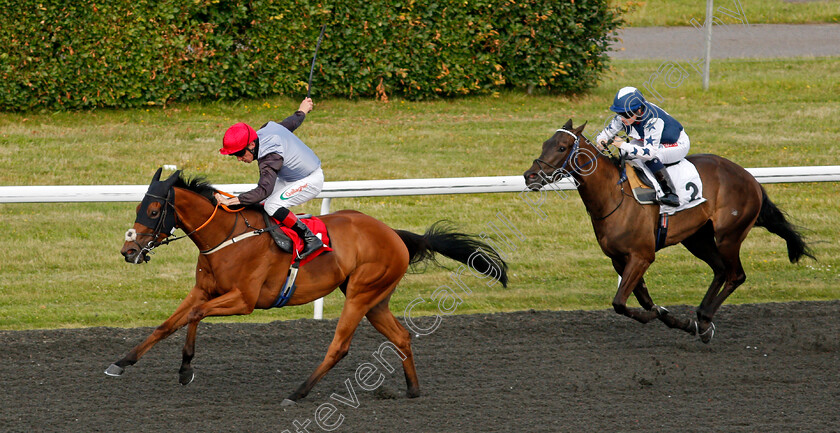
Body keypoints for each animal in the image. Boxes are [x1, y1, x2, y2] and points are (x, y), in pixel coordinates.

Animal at [108, 167, 508, 404]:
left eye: (154, 211)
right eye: (140, 207)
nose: (129, 251)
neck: (226, 236)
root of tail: (394, 234)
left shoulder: (244, 300)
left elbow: (194, 316)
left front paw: (185, 369)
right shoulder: (204, 290)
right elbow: (167, 324)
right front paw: (121, 362)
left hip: (361, 295)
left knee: (340, 346)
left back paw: (298, 392)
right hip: (375, 299)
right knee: (401, 336)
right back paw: (412, 389)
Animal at [520, 120, 812, 342]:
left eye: (561, 147)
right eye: (545, 144)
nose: (529, 176)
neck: (614, 195)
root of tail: (750, 178)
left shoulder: (642, 255)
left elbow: (621, 302)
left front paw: (659, 314)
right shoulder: (619, 259)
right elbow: (641, 300)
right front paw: (674, 319)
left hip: (729, 236)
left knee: (735, 275)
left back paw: (705, 319)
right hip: (697, 238)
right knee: (720, 270)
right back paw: (700, 320)